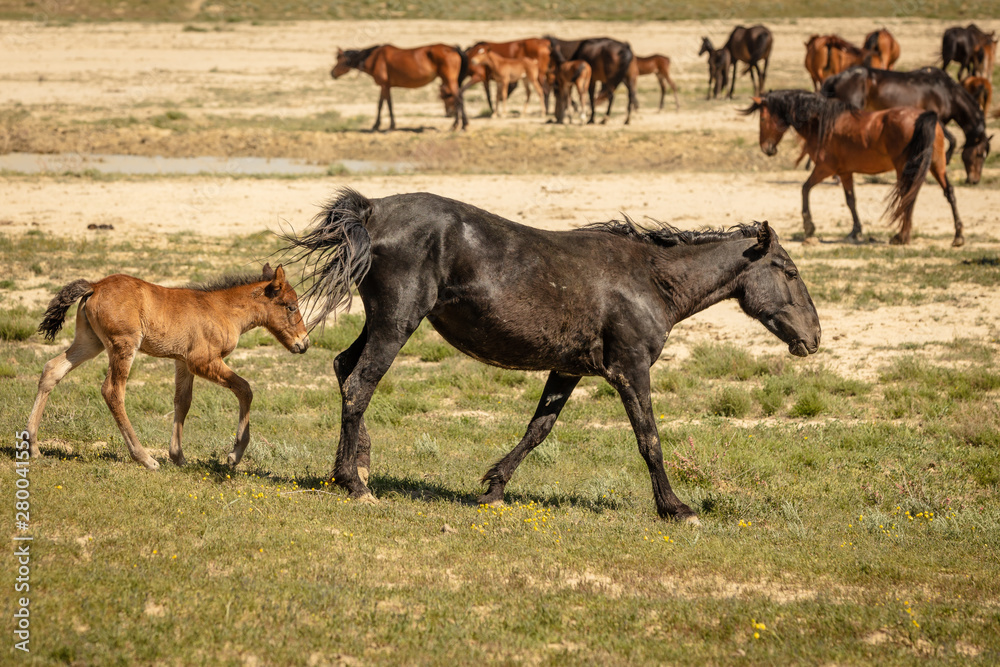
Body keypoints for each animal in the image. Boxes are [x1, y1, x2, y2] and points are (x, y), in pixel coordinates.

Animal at [26, 265, 309, 470]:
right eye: (291, 306)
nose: (303, 343)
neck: (223, 309)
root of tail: (94, 286)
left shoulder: (182, 362)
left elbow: (182, 402)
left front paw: (178, 456)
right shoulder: (202, 361)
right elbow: (245, 389)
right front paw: (234, 455)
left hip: (90, 342)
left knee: (52, 369)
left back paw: (33, 446)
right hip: (123, 345)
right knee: (112, 391)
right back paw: (145, 458)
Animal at [281, 189, 821, 523]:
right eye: (790, 271)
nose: (814, 338)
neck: (651, 281)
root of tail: (371, 211)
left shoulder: (567, 370)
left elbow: (537, 430)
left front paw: (493, 489)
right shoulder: (630, 371)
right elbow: (649, 440)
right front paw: (676, 508)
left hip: (383, 321)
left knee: (344, 369)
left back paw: (355, 468)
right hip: (397, 322)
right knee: (359, 385)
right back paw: (355, 484)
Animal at [331, 44, 468, 131]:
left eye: (339, 59)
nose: (332, 73)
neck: (374, 58)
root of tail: (453, 49)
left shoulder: (385, 85)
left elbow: (387, 104)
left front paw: (390, 126)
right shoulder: (385, 86)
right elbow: (381, 104)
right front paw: (376, 125)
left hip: (449, 79)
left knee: (458, 98)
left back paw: (459, 125)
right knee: (459, 97)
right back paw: (460, 124)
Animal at [744, 90, 964, 247]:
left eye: (762, 119)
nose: (767, 149)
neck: (821, 122)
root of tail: (925, 117)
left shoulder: (825, 168)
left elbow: (805, 188)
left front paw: (809, 225)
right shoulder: (845, 172)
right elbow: (851, 201)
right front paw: (855, 231)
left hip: (906, 169)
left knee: (908, 198)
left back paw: (901, 236)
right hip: (936, 166)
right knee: (949, 193)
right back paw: (958, 235)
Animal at [820, 65, 992, 184]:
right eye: (979, 154)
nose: (974, 180)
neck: (946, 93)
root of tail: (836, 78)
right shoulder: (936, 119)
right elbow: (953, 140)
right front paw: (946, 160)